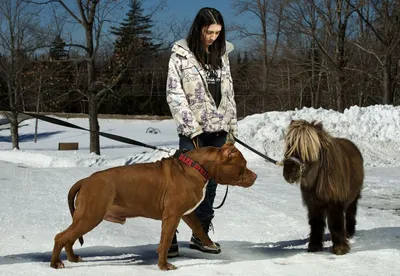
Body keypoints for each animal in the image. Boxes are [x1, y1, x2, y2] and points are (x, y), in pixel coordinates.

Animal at [50, 143, 256, 270]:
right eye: (243, 165)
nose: (255, 176)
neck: (197, 166)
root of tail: (86, 180)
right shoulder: (172, 216)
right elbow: (166, 240)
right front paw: (164, 266)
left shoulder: (186, 214)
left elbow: (198, 228)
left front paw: (209, 244)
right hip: (90, 216)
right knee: (61, 236)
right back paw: (55, 264)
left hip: (85, 217)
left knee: (70, 237)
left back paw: (72, 258)